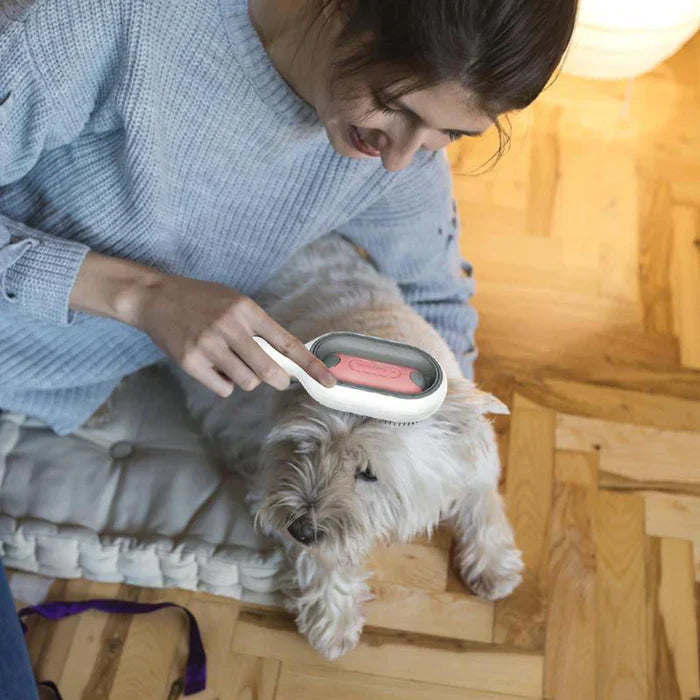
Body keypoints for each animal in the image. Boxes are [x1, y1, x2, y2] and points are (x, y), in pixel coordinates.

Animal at [178, 232, 524, 660]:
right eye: (304, 447)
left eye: (368, 473)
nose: (300, 529)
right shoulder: (271, 482)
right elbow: (323, 559)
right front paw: (333, 620)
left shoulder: (474, 460)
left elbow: (483, 500)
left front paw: (494, 566)